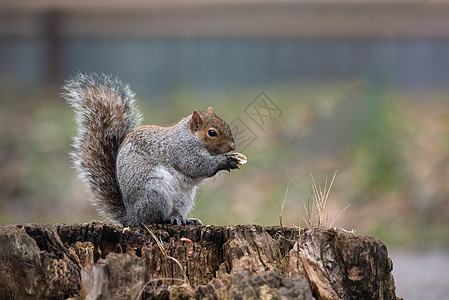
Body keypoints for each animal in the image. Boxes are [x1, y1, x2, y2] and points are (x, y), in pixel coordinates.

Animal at [62, 72, 245, 226]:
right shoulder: (180, 151)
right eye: (212, 133)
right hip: (155, 192)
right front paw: (224, 161)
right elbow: (194, 166)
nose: (232, 146)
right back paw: (168, 219)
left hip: (183, 200)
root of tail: (131, 217)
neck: (190, 137)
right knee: (152, 219)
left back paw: (184, 219)